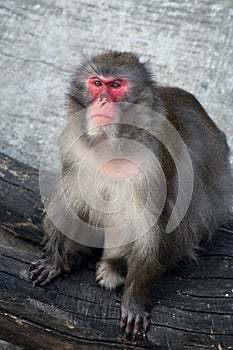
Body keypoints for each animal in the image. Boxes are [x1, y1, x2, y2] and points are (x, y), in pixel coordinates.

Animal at [30, 50, 232, 338]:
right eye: (97, 83)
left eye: (116, 85)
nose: (101, 100)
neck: (113, 143)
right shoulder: (73, 145)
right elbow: (68, 201)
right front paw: (54, 260)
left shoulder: (153, 161)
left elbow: (156, 230)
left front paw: (134, 299)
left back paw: (114, 266)